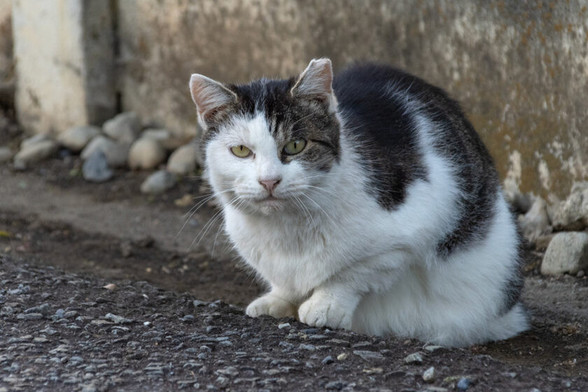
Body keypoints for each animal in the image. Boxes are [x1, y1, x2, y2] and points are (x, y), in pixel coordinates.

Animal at [187, 57, 528, 346]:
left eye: (296, 145)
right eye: (241, 151)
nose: (269, 181)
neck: (287, 229)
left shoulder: (410, 227)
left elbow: (351, 273)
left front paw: (325, 304)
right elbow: (285, 283)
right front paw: (277, 300)